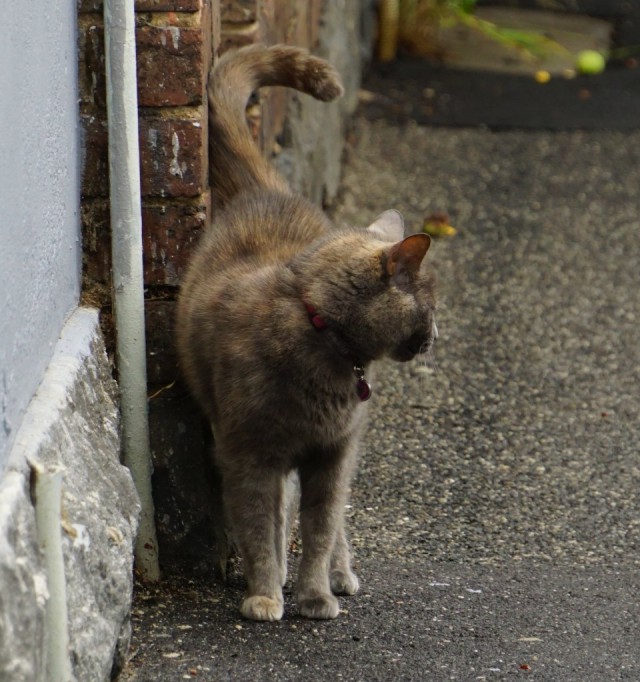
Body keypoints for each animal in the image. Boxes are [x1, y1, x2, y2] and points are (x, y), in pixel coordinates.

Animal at [175, 41, 438, 616]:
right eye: (431, 306)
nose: (437, 335)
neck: (321, 336)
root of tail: (264, 189)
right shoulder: (248, 453)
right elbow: (259, 526)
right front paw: (264, 594)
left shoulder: (332, 456)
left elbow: (319, 529)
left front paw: (315, 595)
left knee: (336, 526)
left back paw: (341, 576)